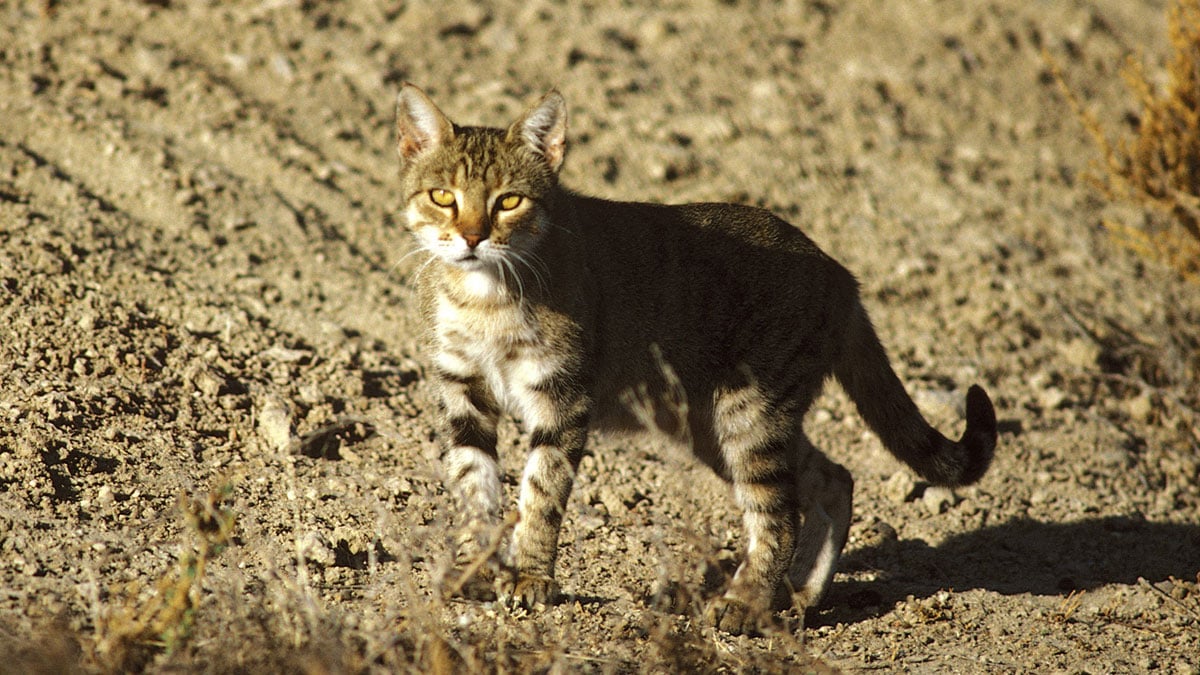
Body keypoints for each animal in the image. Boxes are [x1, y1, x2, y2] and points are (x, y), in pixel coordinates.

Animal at [391, 82, 993, 629]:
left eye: (509, 201)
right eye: (442, 196)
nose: (471, 237)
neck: (483, 298)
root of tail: (841, 275)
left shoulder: (562, 396)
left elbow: (541, 493)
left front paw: (531, 578)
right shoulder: (463, 389)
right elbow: (474, 486)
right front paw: (474, 571)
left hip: (750, 413)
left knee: (779, 514)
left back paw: (745, 603)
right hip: (715, 424)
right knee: (832, 478)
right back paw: (800, 594)